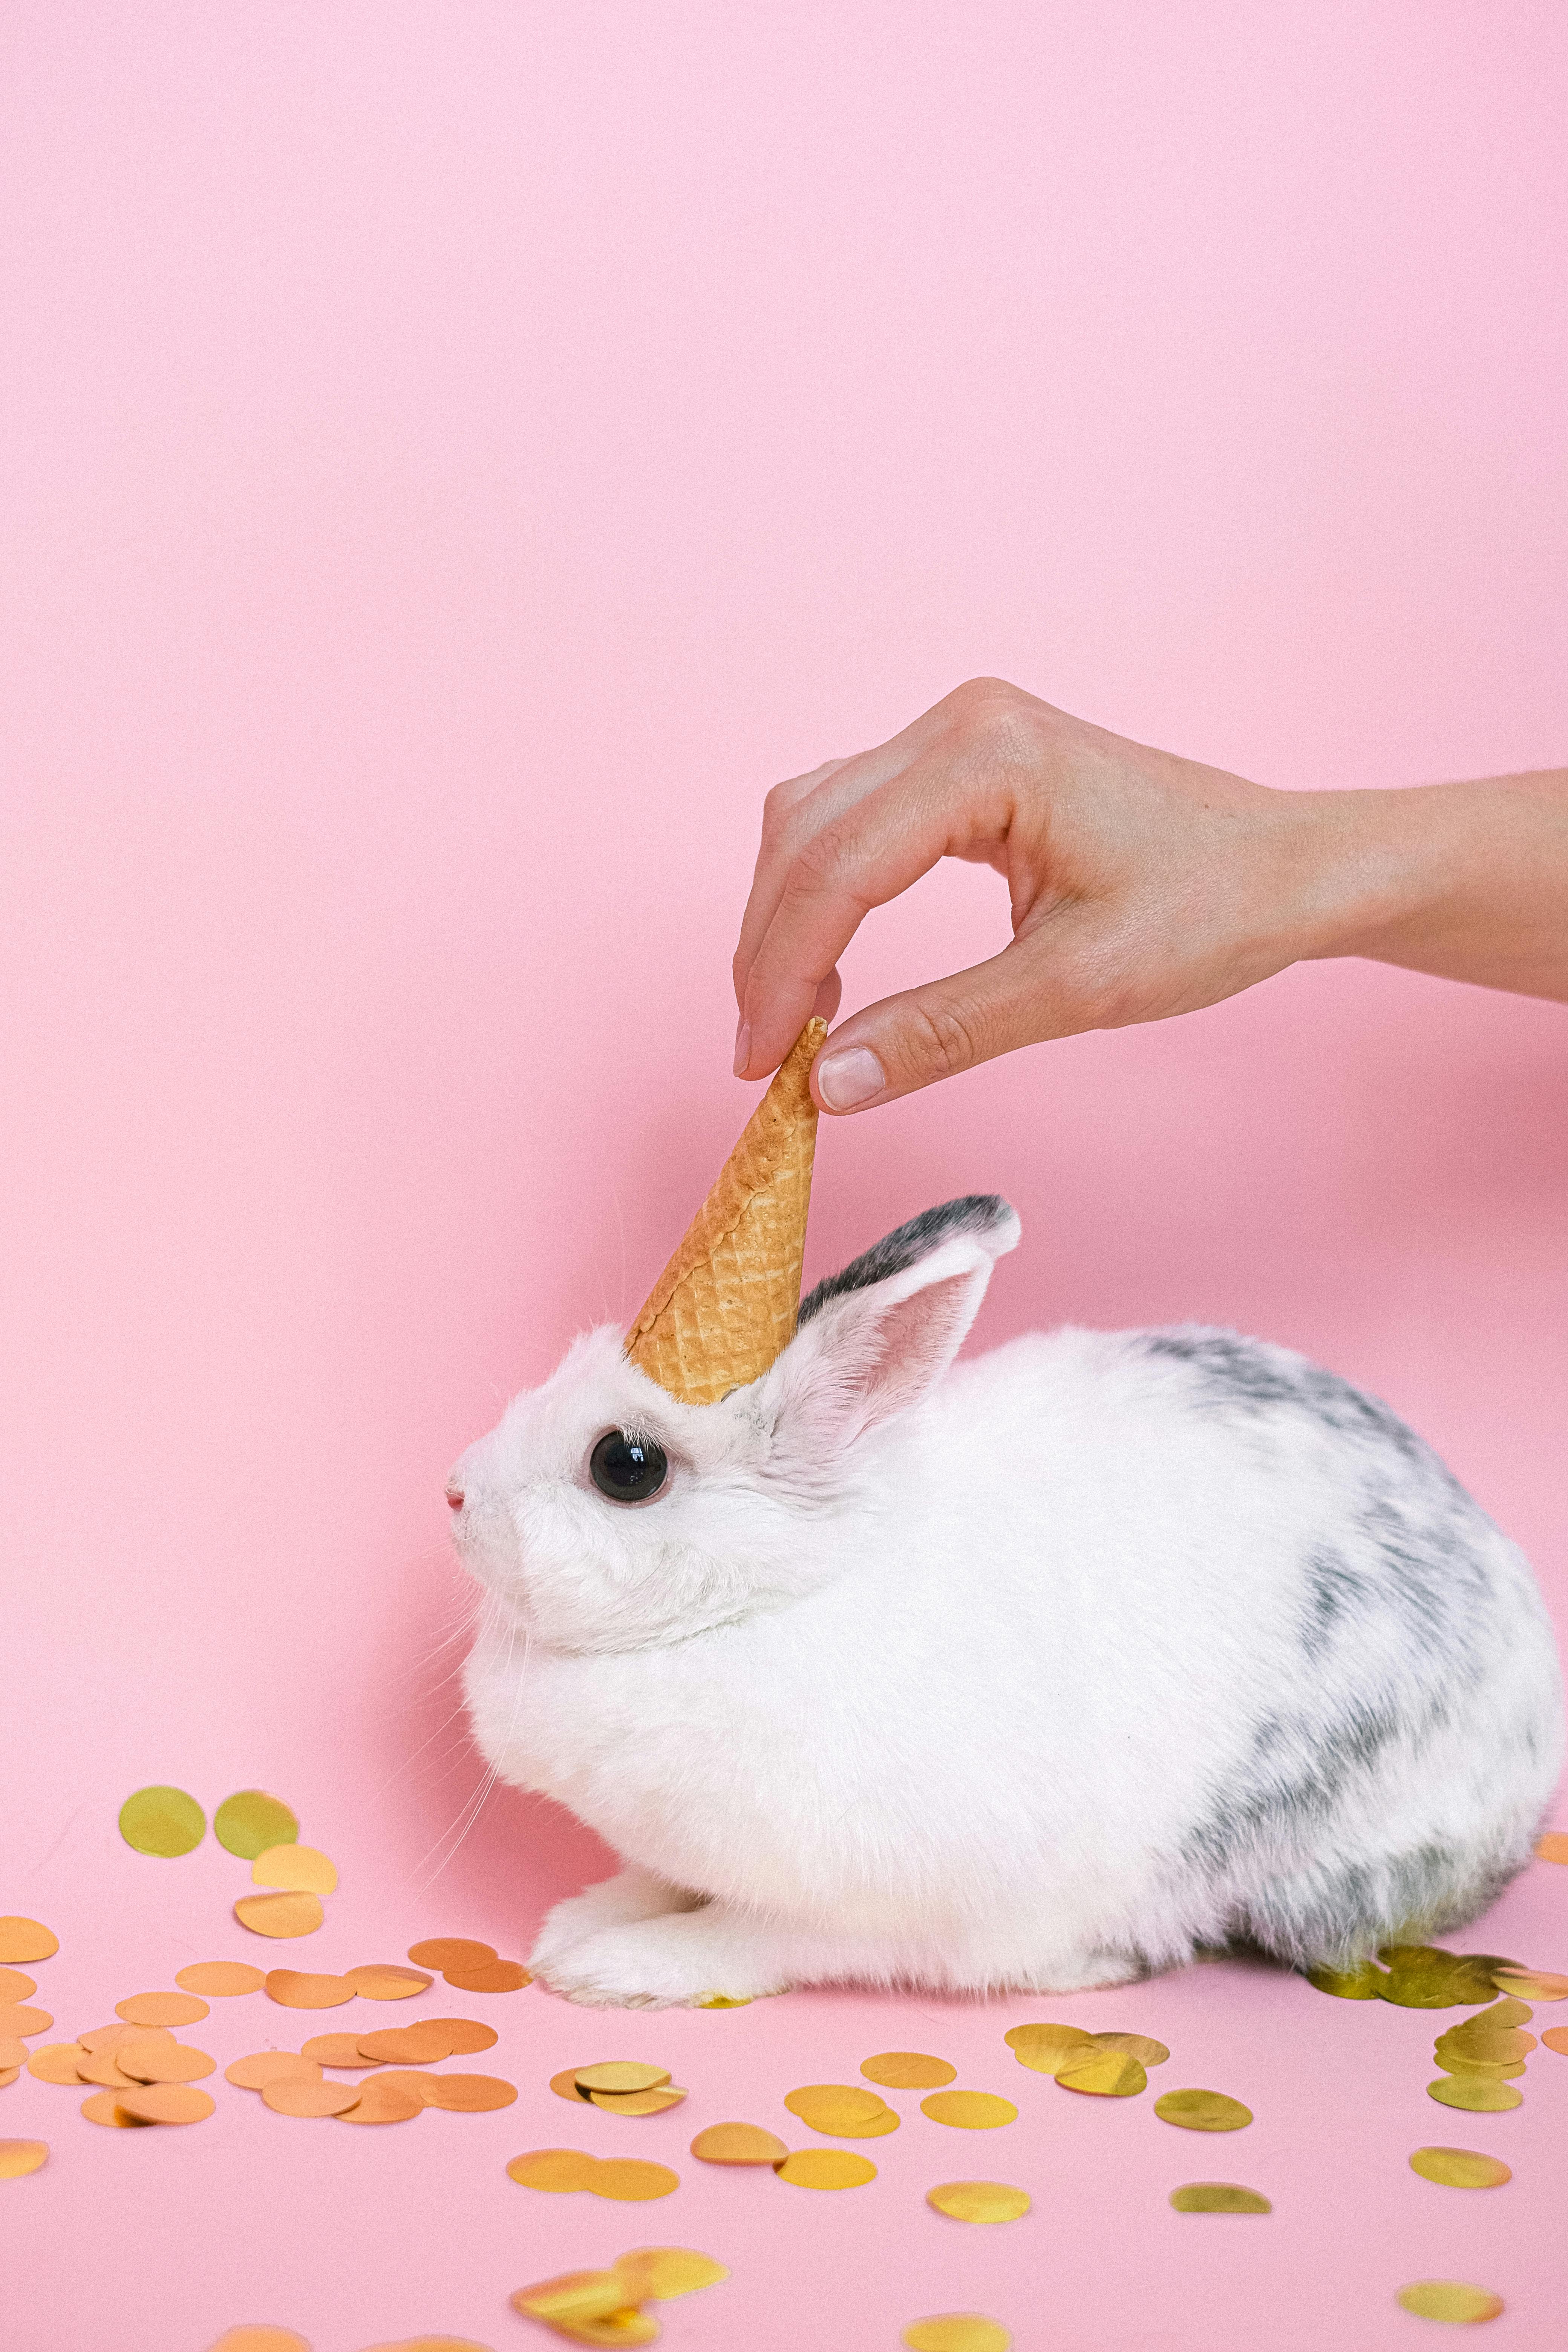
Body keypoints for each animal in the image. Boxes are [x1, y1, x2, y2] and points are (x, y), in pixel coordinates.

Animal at [447, 1204, 1561, 2013]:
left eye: (625, 1465)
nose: (456, 1493)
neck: (785, 1595)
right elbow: (659, 1881)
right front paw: (580, 1922)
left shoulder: (865, 1903)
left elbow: (744, 1936)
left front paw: (613, 1968)